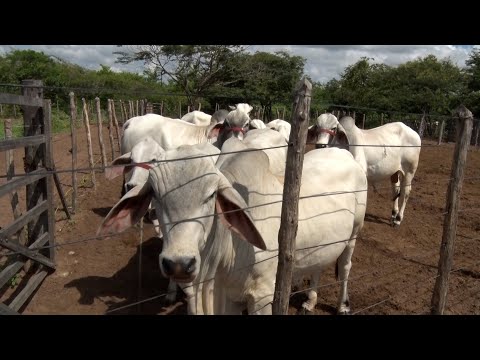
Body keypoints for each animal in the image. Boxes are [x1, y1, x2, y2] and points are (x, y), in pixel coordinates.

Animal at [97, 142, 368, 314]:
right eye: (155, 193)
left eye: (210, 196)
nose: (179, 264)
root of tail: (344, 154)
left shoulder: (262, 296)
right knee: (317, 266)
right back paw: (310, 302)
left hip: (354, 233)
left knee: (345, 267)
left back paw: (343, 305)